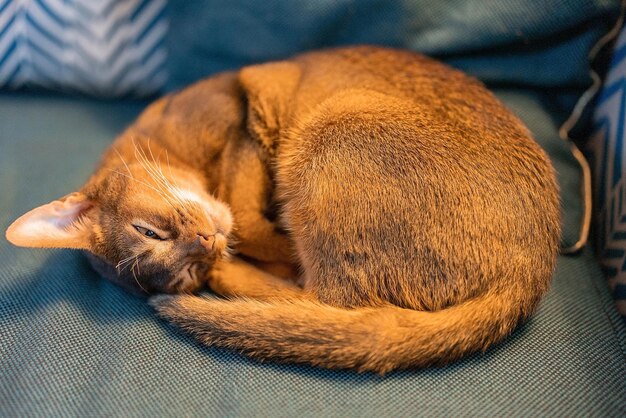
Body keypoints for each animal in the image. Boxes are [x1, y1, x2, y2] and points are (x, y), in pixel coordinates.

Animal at [4, 47, 560, 374]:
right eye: (184, 275)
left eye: (150, 231)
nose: (206, 247)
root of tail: (531, 270)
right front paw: (239, 260)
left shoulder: (243, 116)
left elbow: (247, 217)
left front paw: (251, 240)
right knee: (331, 300)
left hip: (334, 121)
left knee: (333, 297)